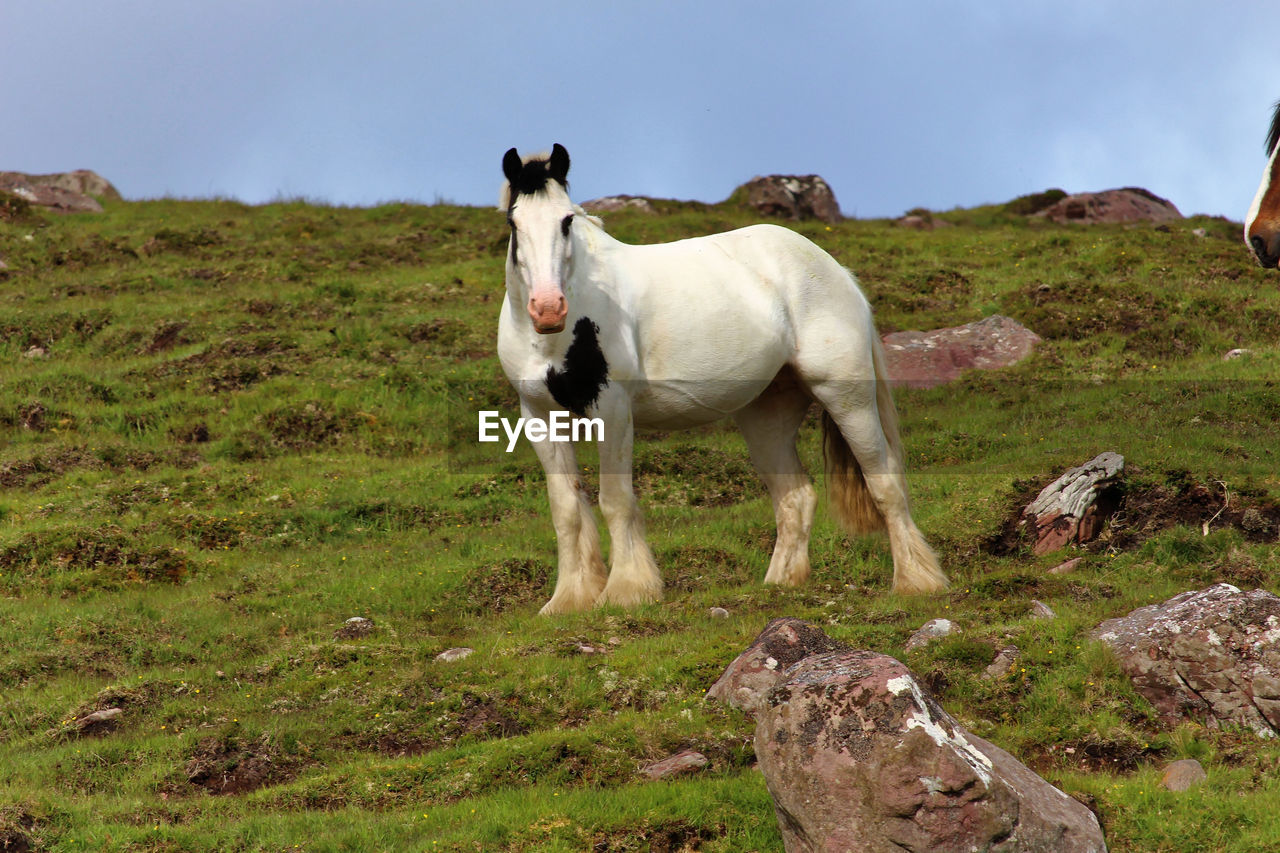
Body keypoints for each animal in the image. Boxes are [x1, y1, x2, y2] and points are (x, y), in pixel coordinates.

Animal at [494, 144, 947, 612]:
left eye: (567, 220)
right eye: (513, 222)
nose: (548, 309)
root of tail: (835, 270)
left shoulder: (612, 410)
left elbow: (615, 501)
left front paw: (625, 592)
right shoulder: (538, 415)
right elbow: (566, 509)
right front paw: (569, 599)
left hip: (846, 396)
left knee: (885, 481)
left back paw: (916, 581)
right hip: (766, 413)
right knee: (795, 496)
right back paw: (781, 583)